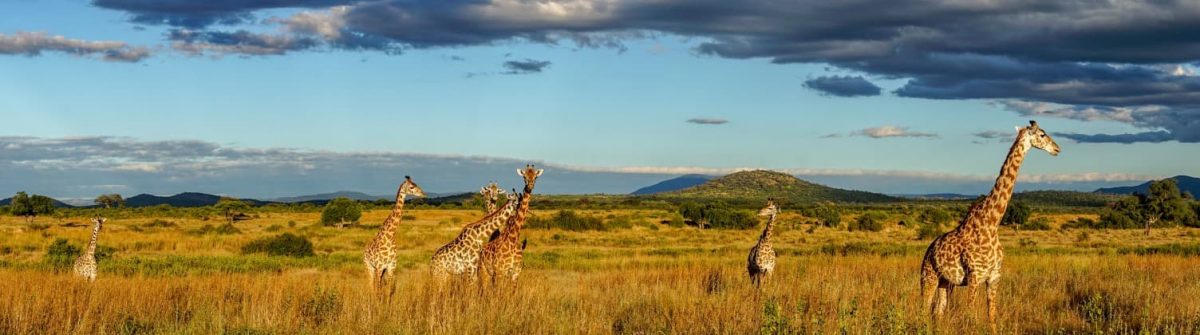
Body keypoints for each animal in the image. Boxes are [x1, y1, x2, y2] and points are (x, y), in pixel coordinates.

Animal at [916, 120, 1060, 331]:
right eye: (1042, 134)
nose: (1057, 149)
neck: (992, 223)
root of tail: (929, 249)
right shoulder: (975, 276)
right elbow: (970, 316)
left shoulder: (994, 277)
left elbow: (992, 317)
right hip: (928, 276)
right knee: (924, 308)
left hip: (946, 282)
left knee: (938, 311)